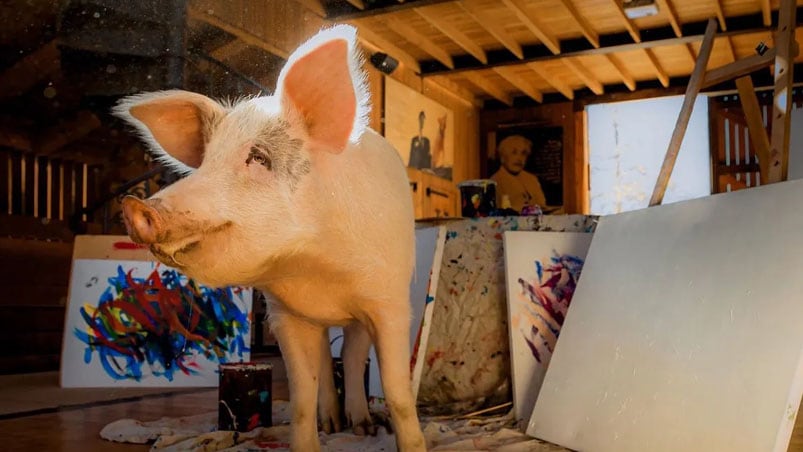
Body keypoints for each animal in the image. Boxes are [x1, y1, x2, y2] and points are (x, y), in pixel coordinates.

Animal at [114, 25, 428, 452]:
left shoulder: (389, 302)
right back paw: (332, 424)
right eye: (207, 161)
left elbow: (398, 393)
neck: (314, 271)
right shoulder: (284, 314)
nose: (135, 207)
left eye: (259, 158)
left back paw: (361, 427)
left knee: (350, 353)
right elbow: (301, 397)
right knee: (327, 363)